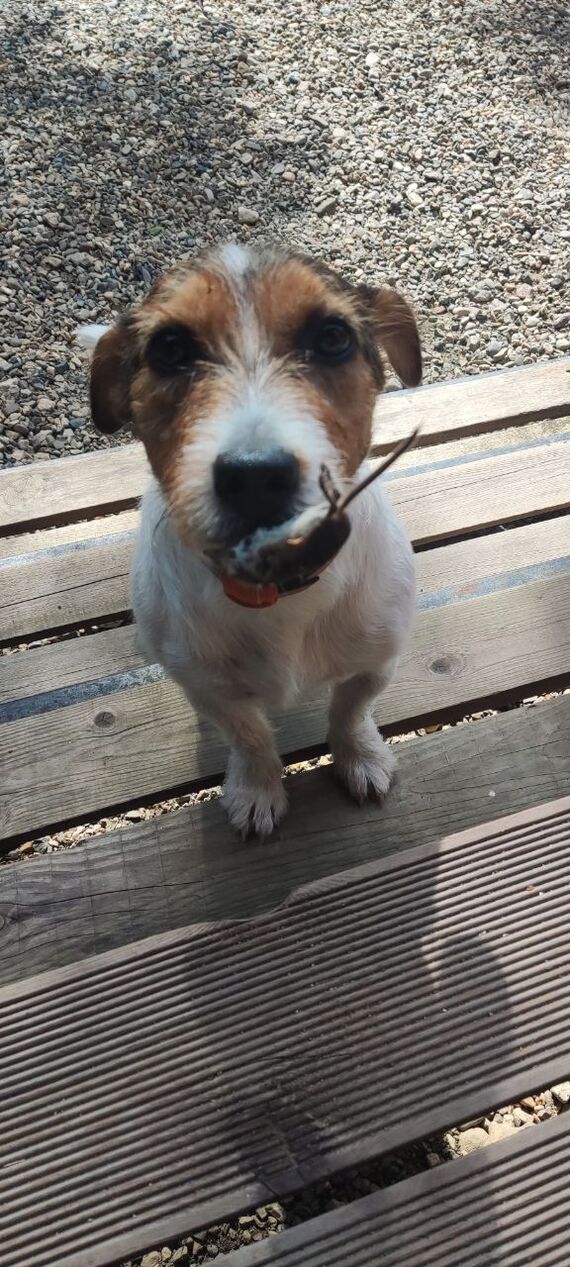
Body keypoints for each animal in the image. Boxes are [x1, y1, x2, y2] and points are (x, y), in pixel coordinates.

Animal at [82, 247, 420, 841]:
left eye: (333, 336)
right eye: (170, 348)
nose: (256, 475)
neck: (277, 586)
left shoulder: (376, 659)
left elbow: (349, 711)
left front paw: (360, 758)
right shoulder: (210, 689)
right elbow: (250, 736)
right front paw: (257, 789)